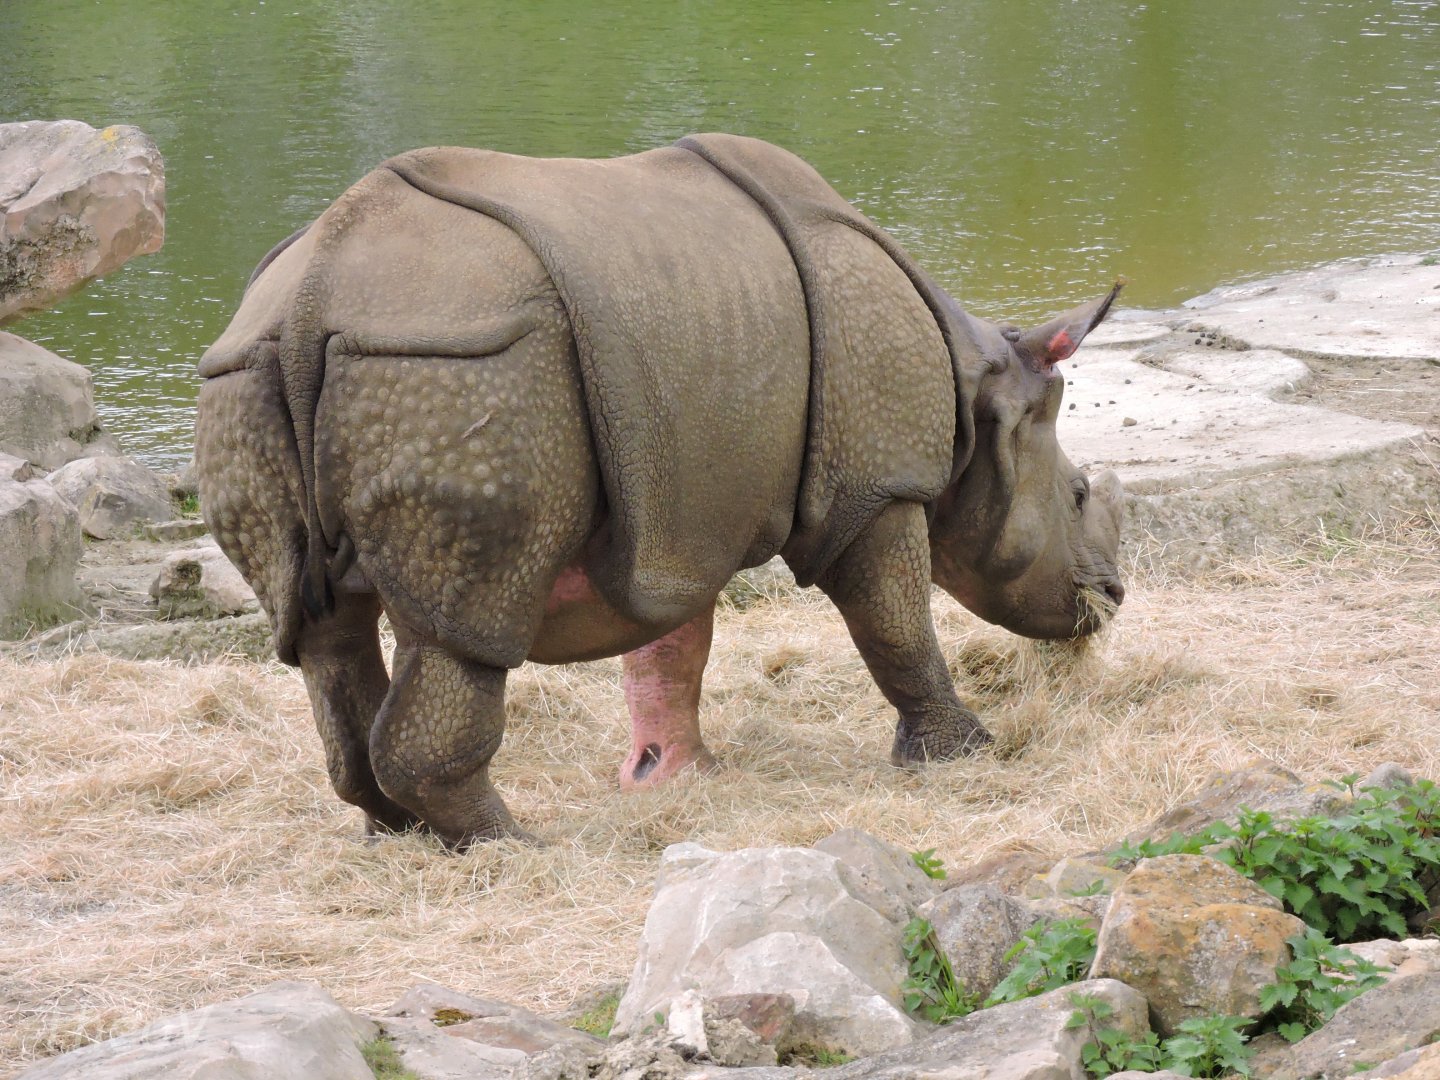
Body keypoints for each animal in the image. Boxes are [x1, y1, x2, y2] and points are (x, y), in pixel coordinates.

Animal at [195, 133, 1125, 846]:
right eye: (1081, 494)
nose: (1112, 597)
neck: (978, 389)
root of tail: (312, 294)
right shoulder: (874, 487)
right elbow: (896, 624)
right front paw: (965, 753)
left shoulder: (680, 504)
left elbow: (674, 642)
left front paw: (675, 776)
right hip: (464, 368)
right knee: (465, 627)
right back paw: (510, 846)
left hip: (249, 374)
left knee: (325, 633)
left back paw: (398, 837)